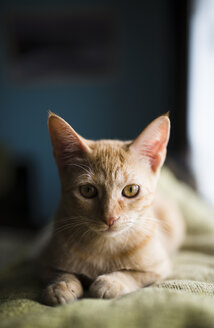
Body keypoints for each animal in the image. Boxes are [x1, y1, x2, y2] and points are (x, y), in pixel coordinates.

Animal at [39, 112, 185, 304]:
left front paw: (111, 282)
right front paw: (60, 286)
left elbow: (133, 274)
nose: (110, 218)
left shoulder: (159, 267)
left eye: (131, 190)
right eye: (87, 190)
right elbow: (60, 273)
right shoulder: (45, 263)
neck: (104, 246)